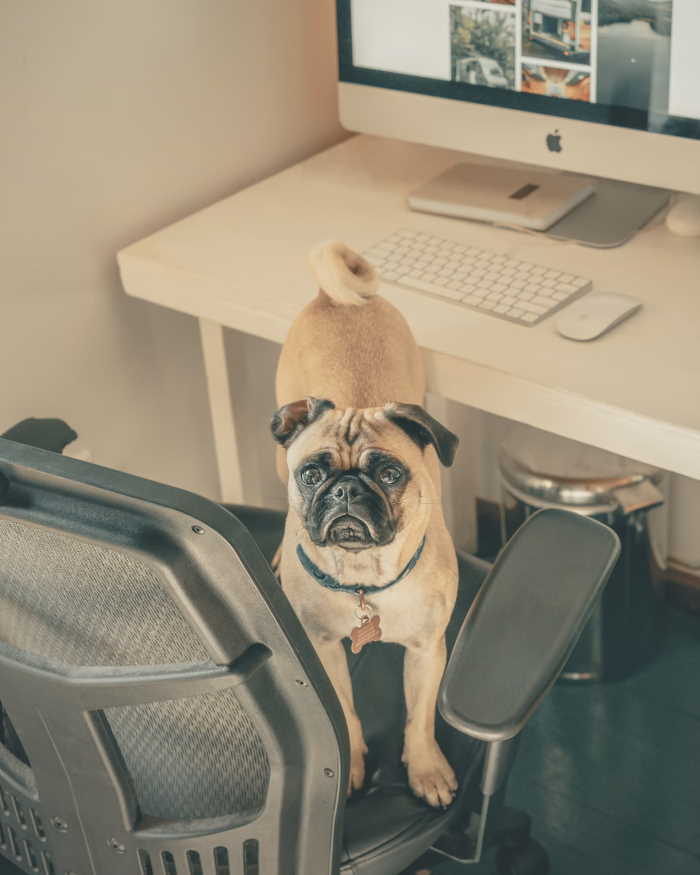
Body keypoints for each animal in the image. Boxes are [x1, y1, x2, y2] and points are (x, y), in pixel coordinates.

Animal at [270, 240, 460, 808]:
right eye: (312, 474)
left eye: (390, 473)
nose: (347, 490)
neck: (364, 578)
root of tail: (333, 298)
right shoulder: (323, 649)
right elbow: (344, 715)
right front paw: (351, 763)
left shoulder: (426, 651)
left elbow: (419, 721)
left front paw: (426, 771)